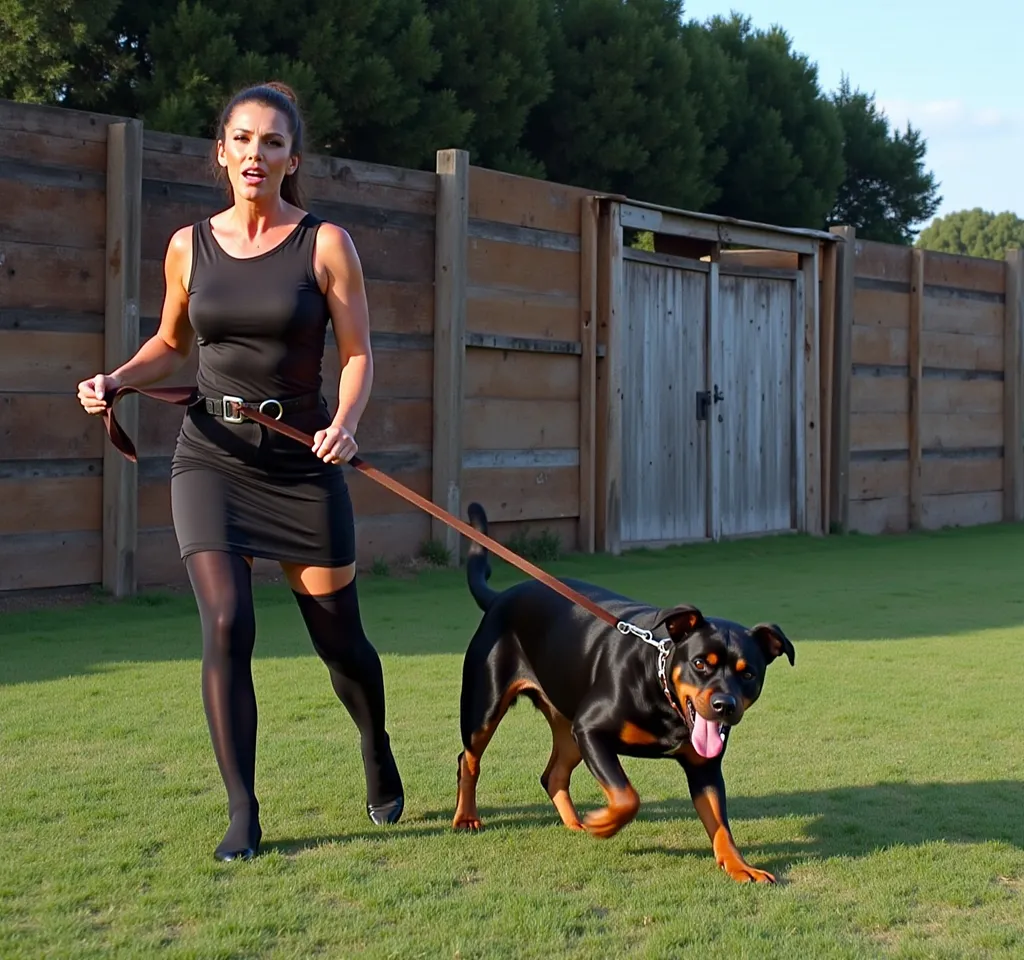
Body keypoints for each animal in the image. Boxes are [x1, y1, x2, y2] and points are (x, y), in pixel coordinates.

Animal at [452, 501, 794, 884]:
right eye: (700, 663)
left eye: (748, 673)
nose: (724, 705)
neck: (662, 693)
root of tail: (500, 598)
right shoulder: (592, 730)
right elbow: (627, 796)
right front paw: (605, 823)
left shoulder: (703, 766)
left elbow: (719, 823)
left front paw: (739, 865)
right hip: (485, 708)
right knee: (468, 760)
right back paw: (467, 817)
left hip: (568, 724)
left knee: (553, 774)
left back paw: (574, 824)